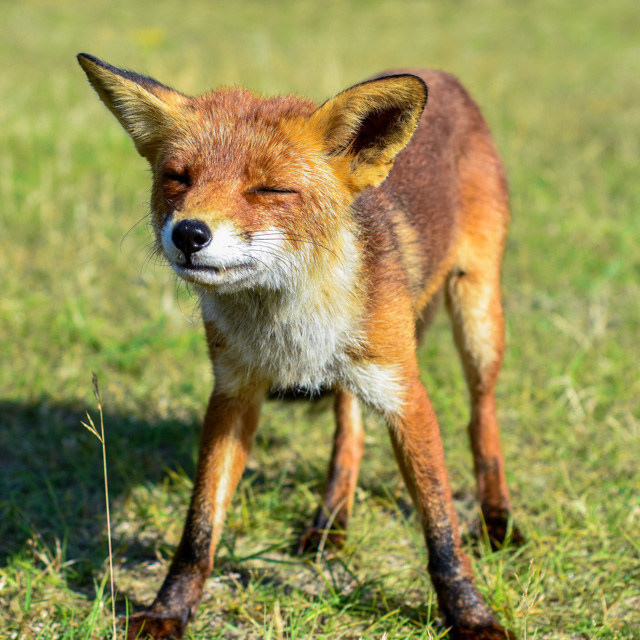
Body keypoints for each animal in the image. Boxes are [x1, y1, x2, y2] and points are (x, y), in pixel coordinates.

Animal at [78, 53, 523, 639]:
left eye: (268, 190)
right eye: (178, 178)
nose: (189, 234)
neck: (292, 326)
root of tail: (437, 72)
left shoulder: (406, 396)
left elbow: (441, 530)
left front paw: (470, 615)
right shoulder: (234, 393)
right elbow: (199, 530)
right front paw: (169, 610)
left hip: (477, 316)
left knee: (481, 417)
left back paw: (497, 519)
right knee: (349, 430)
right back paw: (331, 521)